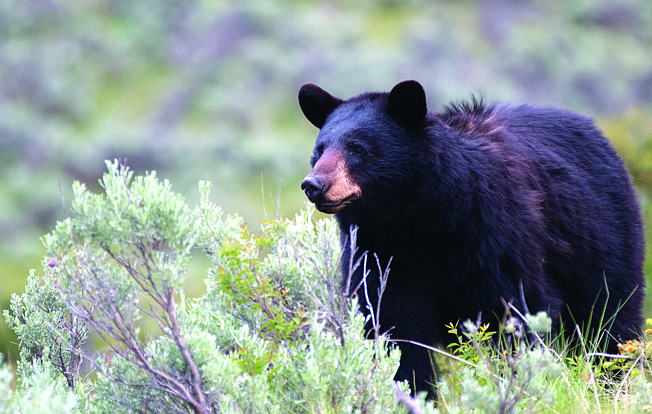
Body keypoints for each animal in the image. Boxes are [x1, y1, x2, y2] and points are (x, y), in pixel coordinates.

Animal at [298, 80, 644, 394]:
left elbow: (515, 311)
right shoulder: (380, 253)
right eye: (320, 150)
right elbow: (393, 328)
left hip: (603, 240)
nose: (314, 185)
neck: (419, 220)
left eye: (358, 148)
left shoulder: (494, 235)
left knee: (611, 317)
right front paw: (411, 392)